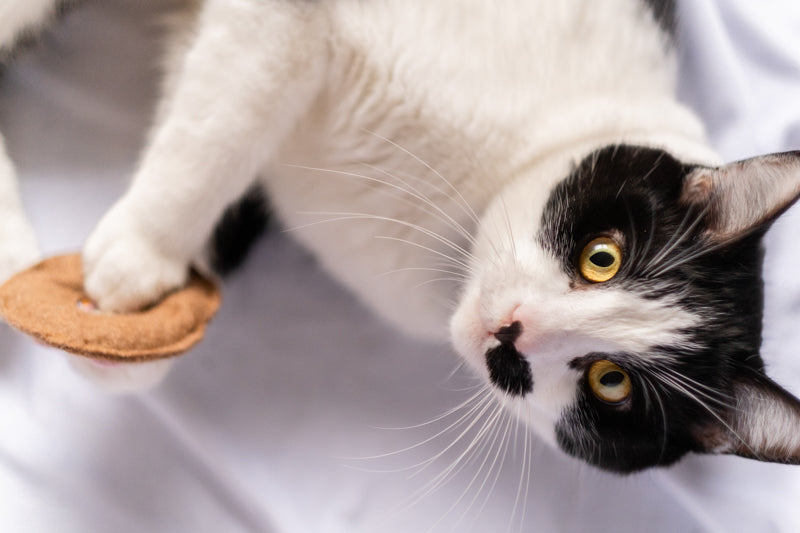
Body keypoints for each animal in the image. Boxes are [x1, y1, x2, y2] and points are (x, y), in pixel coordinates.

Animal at [4, 0, 800, 474]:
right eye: (602, 257)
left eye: (611, 384)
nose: (513, 328)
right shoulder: (285, 21)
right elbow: (218, 126)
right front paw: (142, 251)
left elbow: (209, 126)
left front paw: (117, 326)